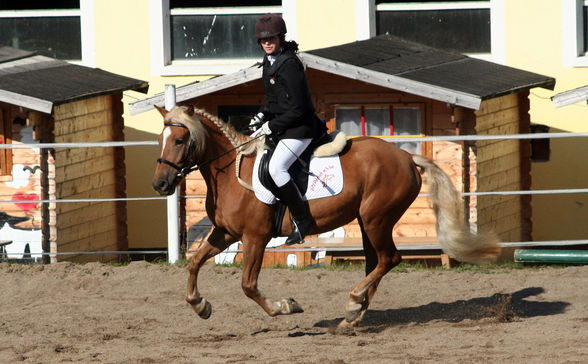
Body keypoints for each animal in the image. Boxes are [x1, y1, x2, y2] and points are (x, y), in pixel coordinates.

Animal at [152, 104, 500, 328]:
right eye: (160, 141)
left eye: (180, 140)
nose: (160, 184)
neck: (229, 174)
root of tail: (406, 156)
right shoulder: (226, 233)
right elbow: (195, 263)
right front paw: (200, 306)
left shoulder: (255, 238)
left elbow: (248, 285)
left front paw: (286, 307)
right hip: (367, 222)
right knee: (376, 263)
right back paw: (354, 314)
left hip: (376, 219)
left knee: (389, 259)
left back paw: (353, 303)